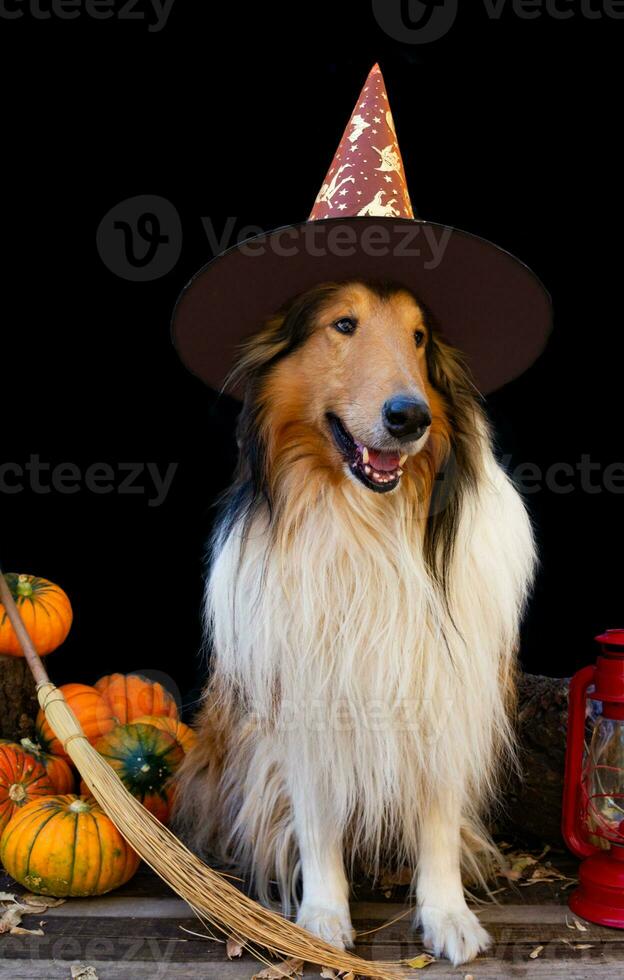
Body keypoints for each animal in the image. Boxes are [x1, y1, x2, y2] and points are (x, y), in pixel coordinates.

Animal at [174, 280, 536, 968]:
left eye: (419, 336)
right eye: (343, 324)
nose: (410, 418)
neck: (367, 522)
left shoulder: (445, 694)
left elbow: (438, 820)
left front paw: (448, 916)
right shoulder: (302, 700)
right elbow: (316, 820)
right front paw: (321, 920)